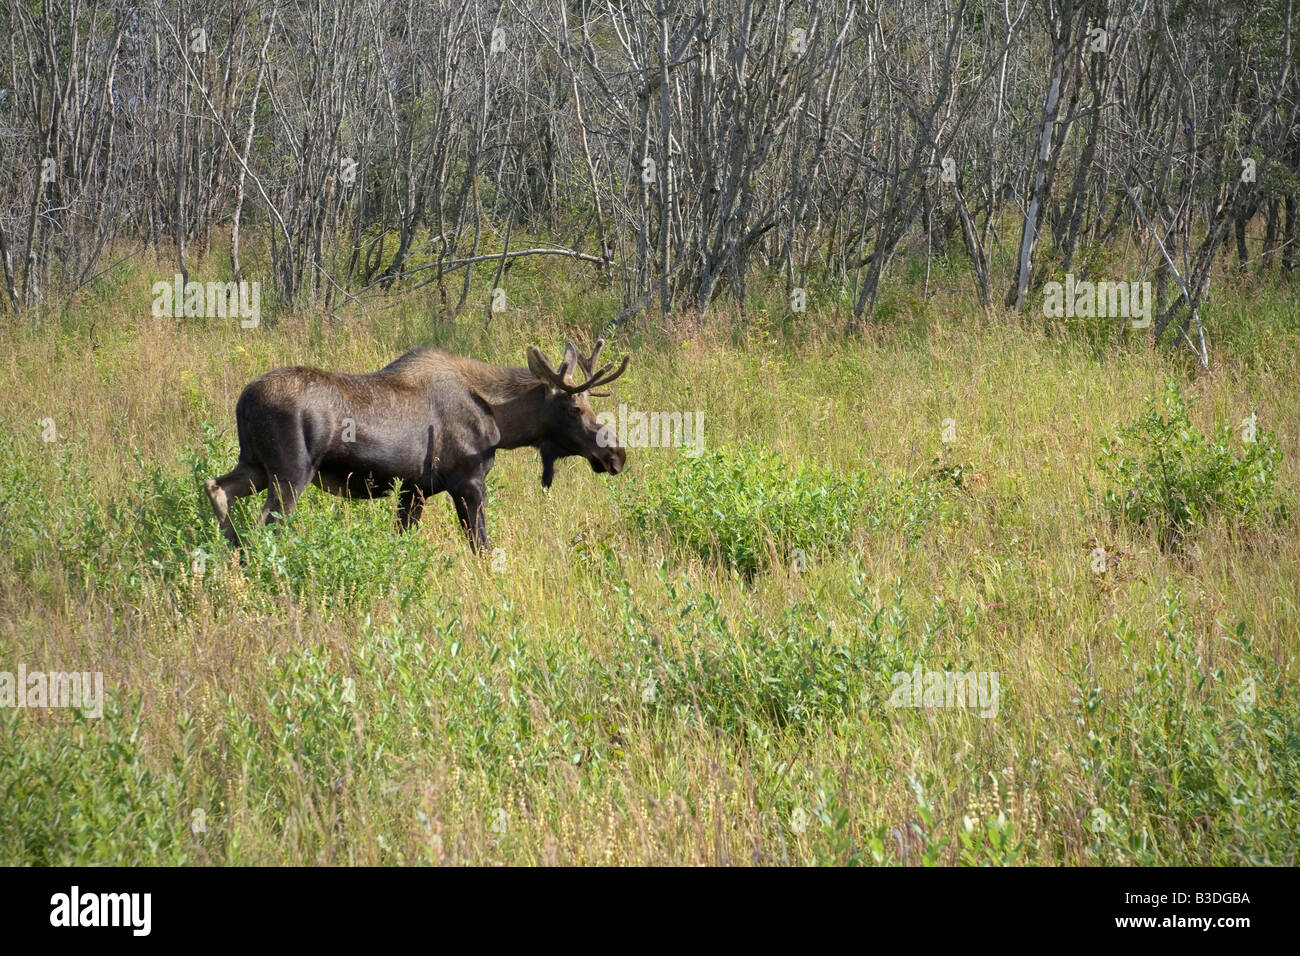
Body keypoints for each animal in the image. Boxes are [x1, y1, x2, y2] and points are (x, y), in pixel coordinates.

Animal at [204, 335, 629, 548]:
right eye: (574, 408)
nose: (616, 454)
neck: (501, 421)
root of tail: (243, 401)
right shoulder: (468, 481)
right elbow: (483, 546)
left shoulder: (414, 489)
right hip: (290, 472)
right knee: (265, 528)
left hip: (255, 465)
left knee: (216, 487)